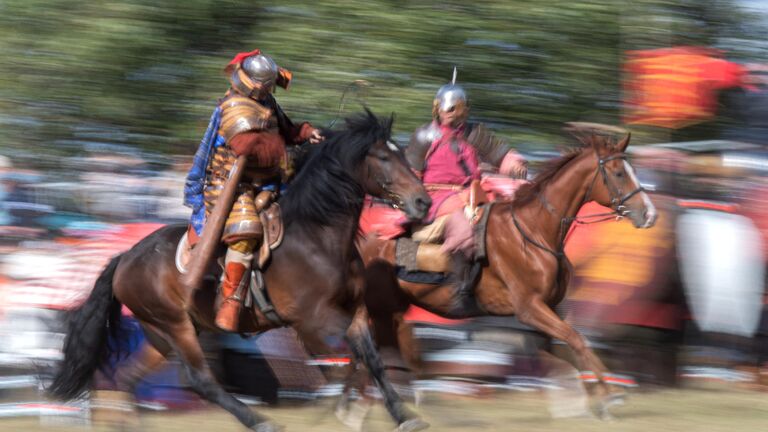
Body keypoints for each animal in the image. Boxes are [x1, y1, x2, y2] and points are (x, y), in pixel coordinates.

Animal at [48, 112, 432, 432]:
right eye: (383, 157)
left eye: (401, 153)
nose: (423, 202)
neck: (317, 236)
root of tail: (125, 258)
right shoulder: (314, 319)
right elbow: (350, 358)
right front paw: (348, 409)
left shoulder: (355, 310)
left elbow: (372, 359)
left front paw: (403, 416)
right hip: (175, 326)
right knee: (200, 381)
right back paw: (260, 422)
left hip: (159, 334)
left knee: (125, 379)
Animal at [356, 123, 656, 416]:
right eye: (619, 173)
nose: (650, 214)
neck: (533, 230)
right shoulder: (530, 309)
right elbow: (577, 340)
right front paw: (612, 395)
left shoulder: (545, 316)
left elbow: (564, 352)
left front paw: (583, 400)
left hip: (393, 311)